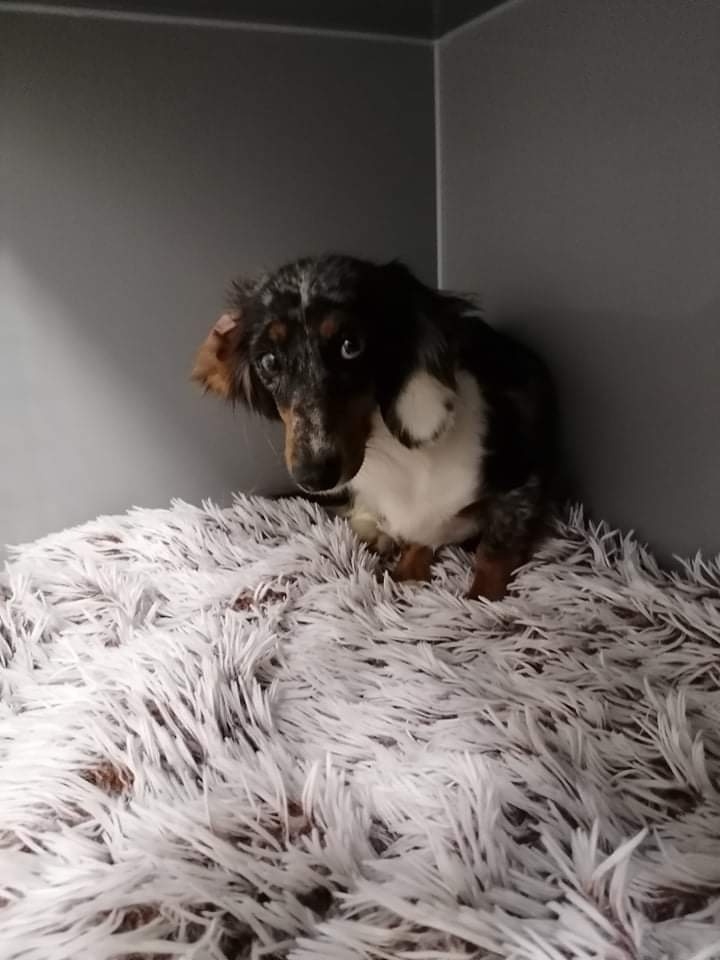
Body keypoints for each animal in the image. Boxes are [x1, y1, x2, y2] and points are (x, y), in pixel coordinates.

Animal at [192, 255, 558, 599]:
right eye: (268, 361)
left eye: (351, 345)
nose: (314, 477)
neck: (399, 457)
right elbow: (419, 540)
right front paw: (406, 575)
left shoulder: (520, 483)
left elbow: (494, 552)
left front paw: (481, 603)